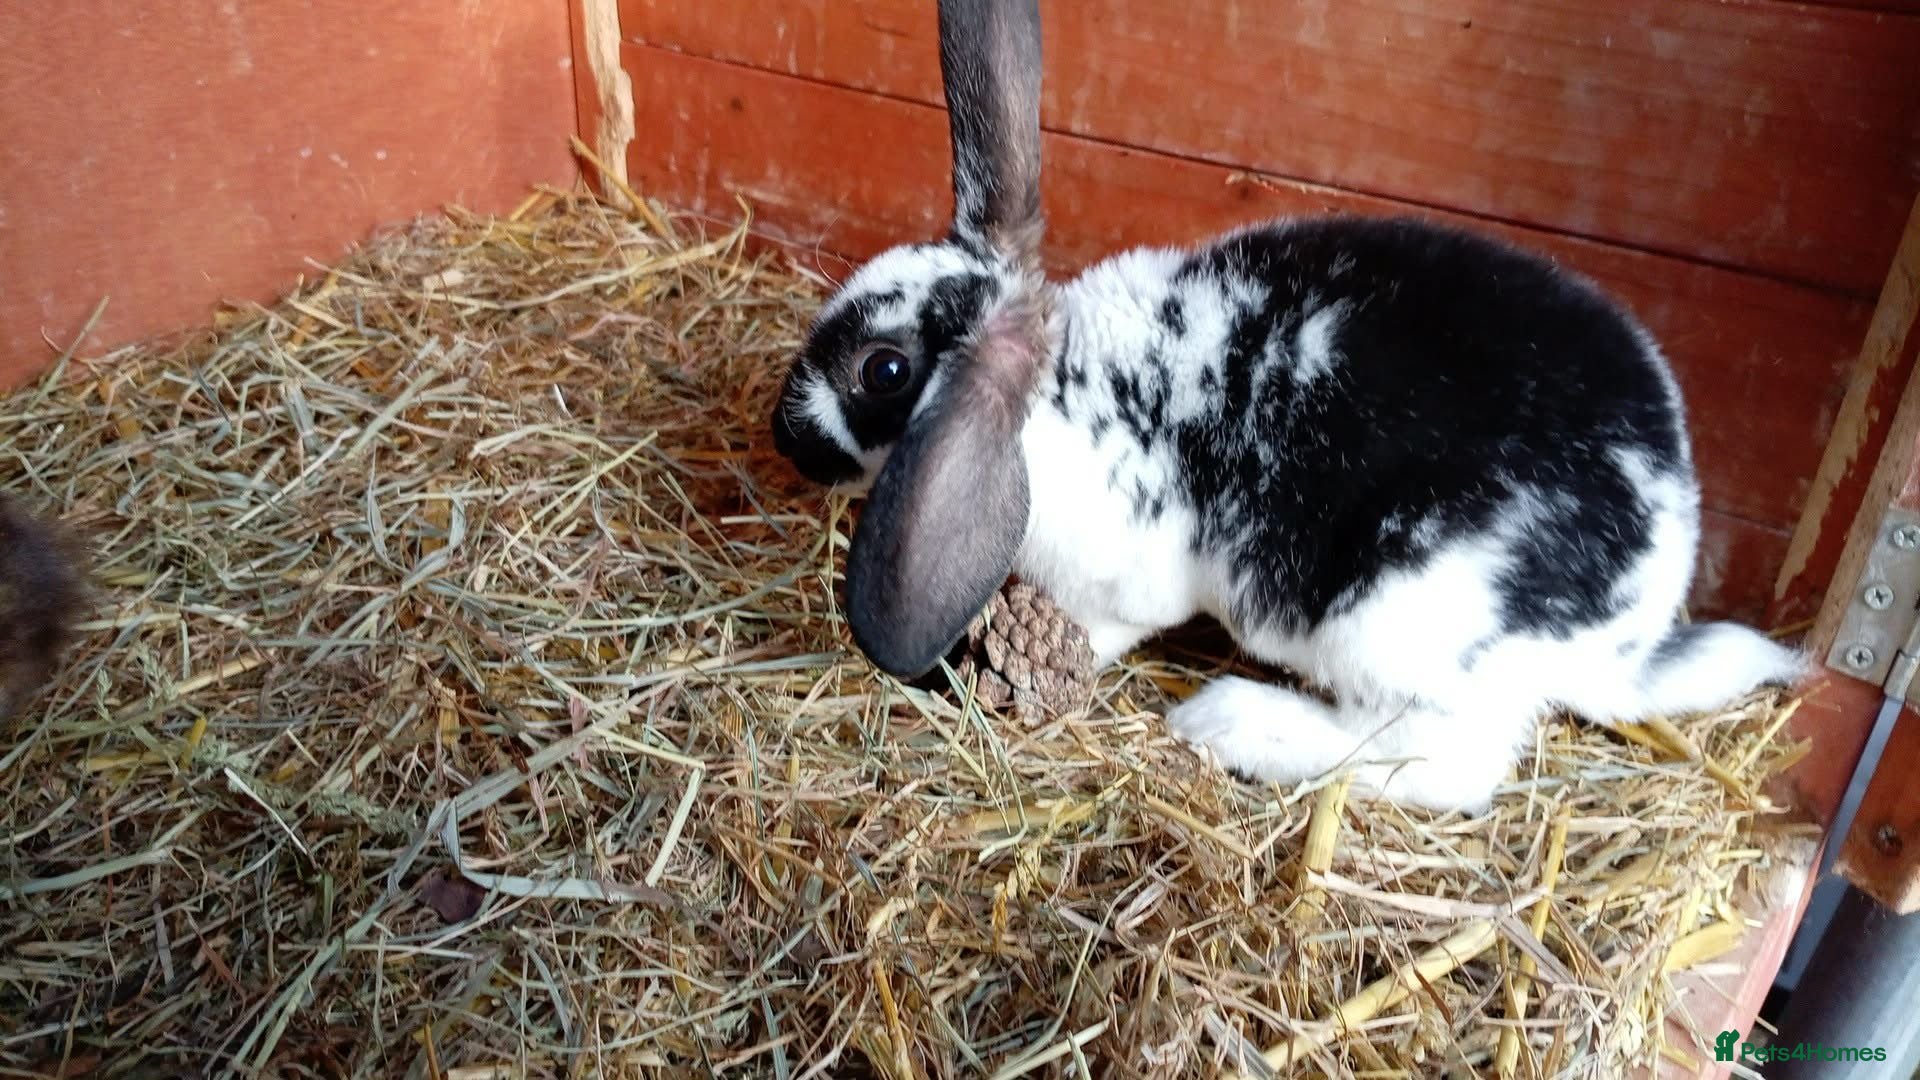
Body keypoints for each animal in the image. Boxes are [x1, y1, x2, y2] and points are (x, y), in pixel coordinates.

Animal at [769, 0, 1808, 811]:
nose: (783, 434)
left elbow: (1104, 629)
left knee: (1437, 765)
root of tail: (1635, 623)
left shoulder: (1120, 585)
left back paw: (1230, 722)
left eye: (883, 371)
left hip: (1397, 631)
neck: (1057, 391)